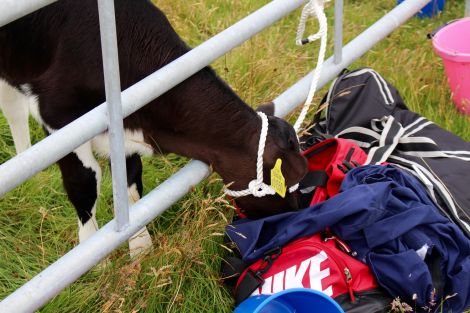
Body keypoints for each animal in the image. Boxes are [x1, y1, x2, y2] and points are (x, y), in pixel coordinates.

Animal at [0, 0, 308, 256]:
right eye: (287, 186)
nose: (296, 218)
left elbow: (130, 179)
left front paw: (139, 246)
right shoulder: (57, 117)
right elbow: (84, 183)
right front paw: (96, 257)